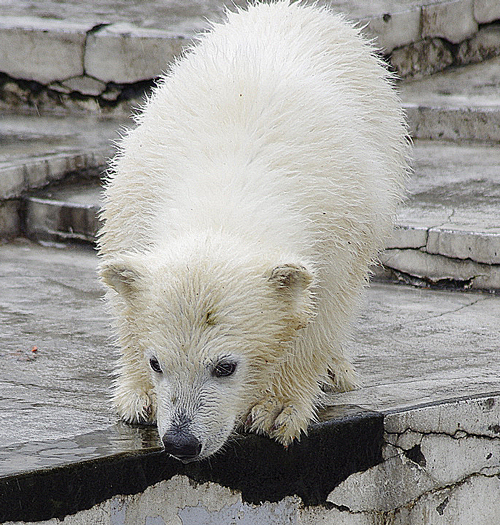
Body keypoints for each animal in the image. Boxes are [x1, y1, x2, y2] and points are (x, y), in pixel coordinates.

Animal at [98, 0, 410, 460]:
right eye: (157, 362)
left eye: (225, 366)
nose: (181, 442)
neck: (230, 183)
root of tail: (293, 9)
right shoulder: (134, 199)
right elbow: (125, 299)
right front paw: (140, 397)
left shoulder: (340, 226)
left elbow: (321, 309)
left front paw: (276, 409)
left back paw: (337, 371)